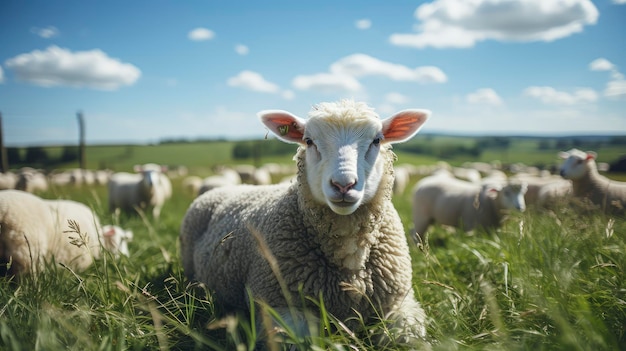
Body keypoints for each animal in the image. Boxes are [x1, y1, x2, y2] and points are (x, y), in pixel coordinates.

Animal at [179, 100, 428, 348]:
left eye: (377, 140)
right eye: (309, 141)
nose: (343, 185)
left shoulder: (399, 304)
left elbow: (410, 338)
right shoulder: (281, 308)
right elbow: (302, 341)